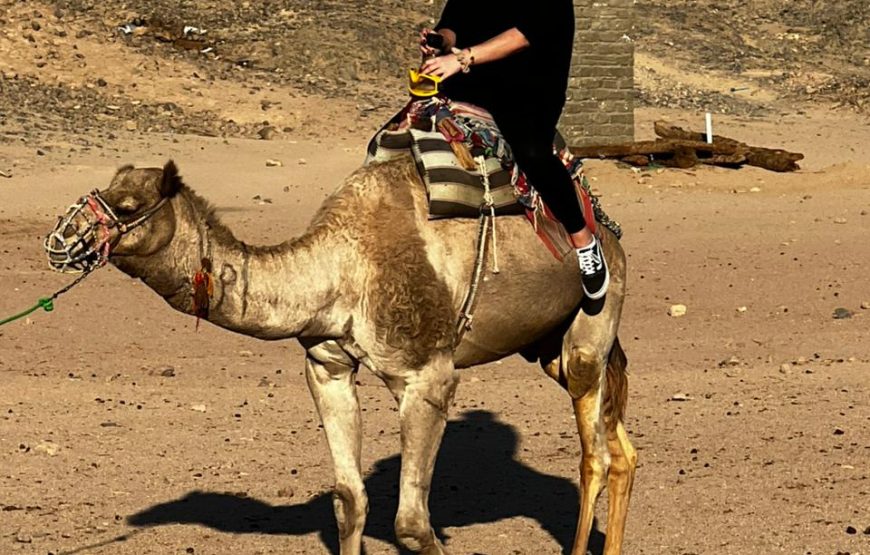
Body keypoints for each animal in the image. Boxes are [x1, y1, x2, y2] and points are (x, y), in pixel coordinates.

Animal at [48, 159, 636, 555]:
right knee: (619, 446)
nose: (62, 238)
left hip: (593, 320)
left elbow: (412, 526)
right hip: (548, 347)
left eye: (127, 207)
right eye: (104, 190)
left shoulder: (428, 378)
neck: (341, 267)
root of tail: (605, 226)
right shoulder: (327, 366)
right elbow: (349, 501)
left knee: (595, 453)